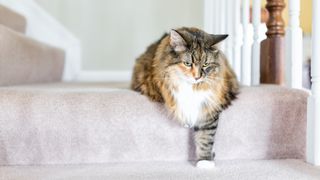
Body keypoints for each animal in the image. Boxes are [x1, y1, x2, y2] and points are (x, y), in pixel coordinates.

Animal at [131, 27, 239, 169]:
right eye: (188, 63)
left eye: (205, 65)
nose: (197, 77)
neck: (192, 87)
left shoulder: (209, 106)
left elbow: (206, 137)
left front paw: (205, 161)